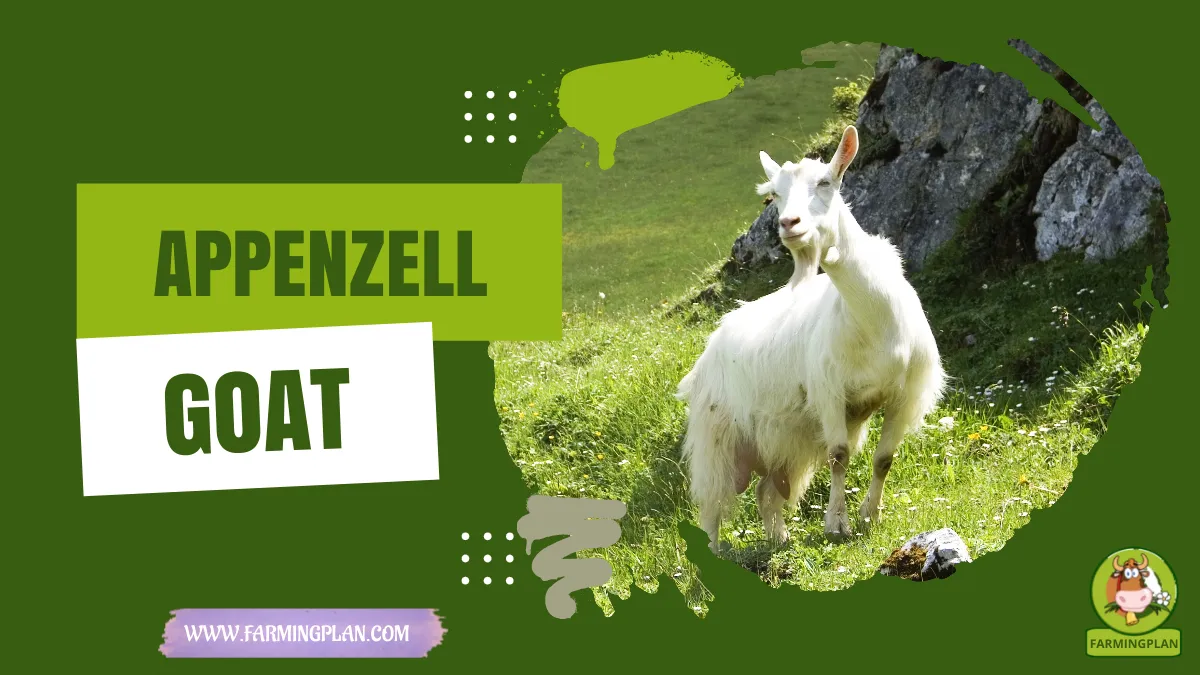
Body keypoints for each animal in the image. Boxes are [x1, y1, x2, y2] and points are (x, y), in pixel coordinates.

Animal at [676, 126, 946, 553]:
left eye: (825, 182)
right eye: (774, 194)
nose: (790, 223)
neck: (872, 319)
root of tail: (716, 338)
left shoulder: (903, 396)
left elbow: (884, 459)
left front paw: (871, 515)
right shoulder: (830, 392)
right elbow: (839, 456)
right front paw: (837, 524)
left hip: (785, 439)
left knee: (766, 493)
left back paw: (779, 540)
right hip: (716, 434)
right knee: (712, 503)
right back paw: (716, 552)